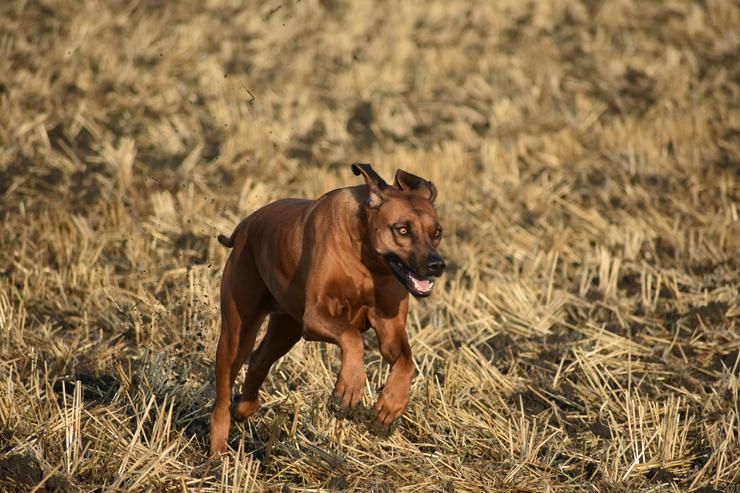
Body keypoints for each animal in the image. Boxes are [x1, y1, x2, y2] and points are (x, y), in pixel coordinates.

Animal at [211, 163, 446, 456]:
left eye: (436, 232)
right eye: (402, 230)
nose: (437, 265)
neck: (368, 258)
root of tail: (244, 226)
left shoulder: (390, 325)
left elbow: (406, 361)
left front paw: (390, 405)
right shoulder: (315, 315)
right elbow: (352, 337)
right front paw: (350, 386)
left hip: (286, 328)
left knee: (259, 359)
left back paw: (245, 407)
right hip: (237, 329)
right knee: (224, 390)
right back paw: (218, 452)